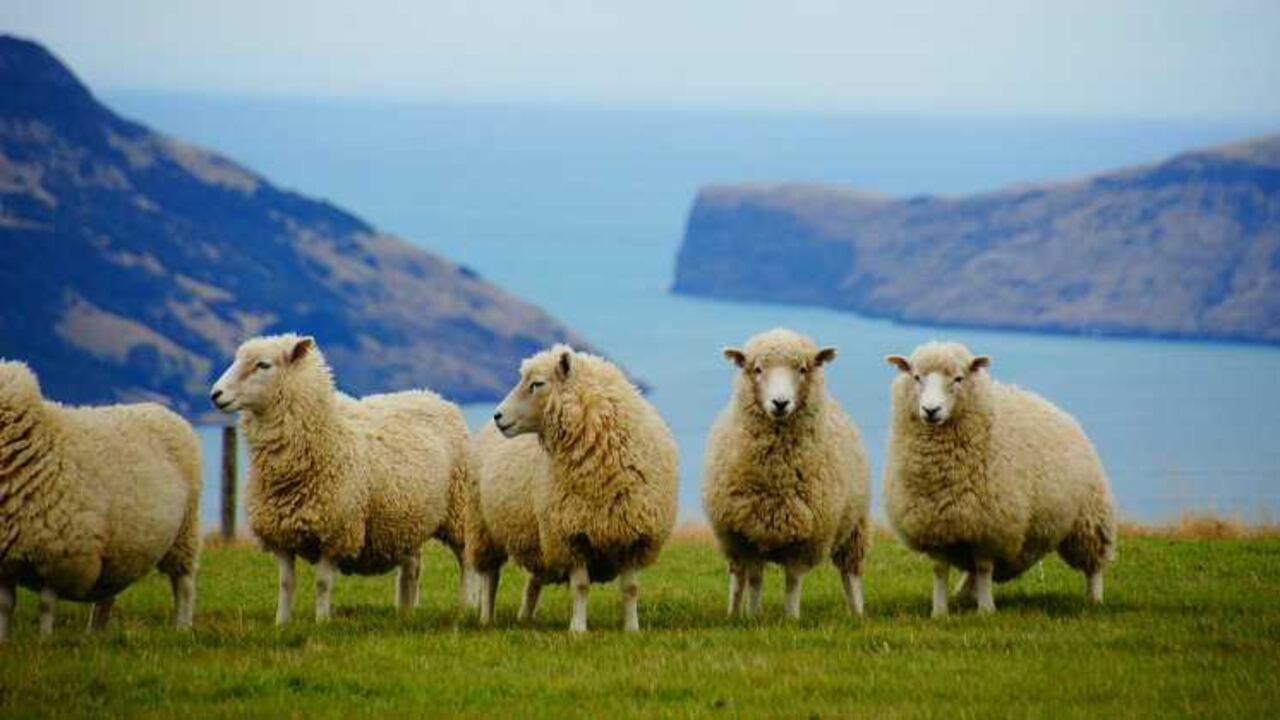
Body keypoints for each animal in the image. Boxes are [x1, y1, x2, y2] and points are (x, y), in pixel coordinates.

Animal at [0, 361, 200, 641]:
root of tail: (163, 410)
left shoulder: (59, 556)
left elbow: (46, 605)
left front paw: (44, 640)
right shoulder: (6, 560)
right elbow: (6, 606)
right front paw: (4, 639)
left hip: (185, 532)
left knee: (183, 582)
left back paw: (181, 626)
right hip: (120, 549)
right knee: (108, 593)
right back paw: (95, 633)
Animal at [210, 333, 469, 624]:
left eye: (263, 365)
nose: (215, 394)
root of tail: (431, 395)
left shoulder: (336, 532)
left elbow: (323, 583)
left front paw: (322, 622)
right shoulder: (281, 535)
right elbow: (286, 583)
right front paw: (281, 623)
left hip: (460, 510)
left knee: (466, 561)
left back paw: (466, 606)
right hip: (408, 519)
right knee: (412, 568)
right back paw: (405, 612)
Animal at [490, 345, 679, 632]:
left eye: (537, 384)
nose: (498, 416)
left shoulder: (632, 533)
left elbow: (631, 588)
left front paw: (632, 628)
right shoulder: (572, 533)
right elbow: (580, 586)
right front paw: (578, 629)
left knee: (534, 580)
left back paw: (524, 619)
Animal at [702, 328, 871, 620]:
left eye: (802, 369)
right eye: (757, 369)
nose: (780, 403)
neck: (776, 474)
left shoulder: (805, 539)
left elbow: (793, 582)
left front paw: (791, 618)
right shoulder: (747, 534)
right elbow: (755, 579)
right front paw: (752, 617)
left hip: (854, 526)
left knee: (850, 574)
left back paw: (857, 613)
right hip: (732, 542)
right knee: (738, 577)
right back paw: (733, 613)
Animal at [883, 341, 1116, 617]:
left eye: (959, 378)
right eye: (917, 377)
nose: (931, 410)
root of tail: (1058, 410)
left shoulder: (991, 527)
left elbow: (984, 568)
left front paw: (986, 610)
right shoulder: (934, 526)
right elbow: (940, 570)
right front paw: (939, 612)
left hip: (1089, 517)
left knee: (1094, 565)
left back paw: (1095, 599)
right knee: (970, 571)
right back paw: (964, 595)